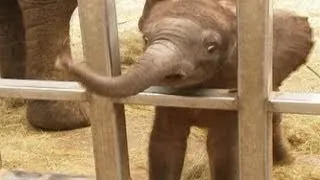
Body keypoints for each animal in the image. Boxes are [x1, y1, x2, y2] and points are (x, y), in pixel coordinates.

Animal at [56, 0, 314, 179]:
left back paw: (284, 162)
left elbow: (223, 148)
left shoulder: (232, 84)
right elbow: (165, 143)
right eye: (146, 39)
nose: (63, 61)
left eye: (211, 47)